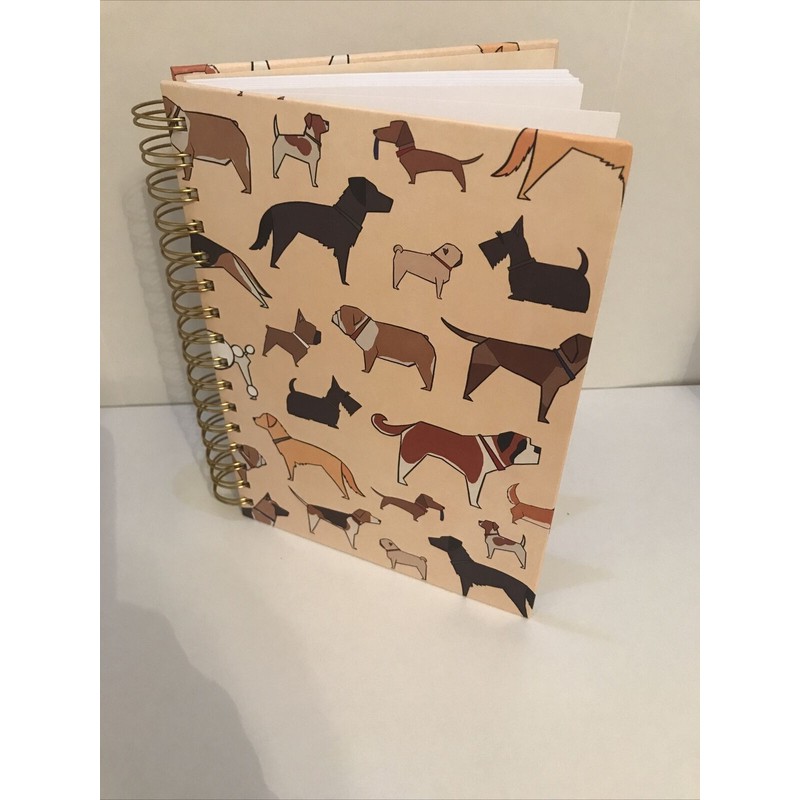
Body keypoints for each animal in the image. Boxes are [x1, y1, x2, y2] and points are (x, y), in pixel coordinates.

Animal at [250, 176, 393, 285]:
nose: (392, 201)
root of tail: (272, 208)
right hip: (285, 234)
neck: (346, 214)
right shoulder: (343, 248)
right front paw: (344, 282)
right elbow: (343, 267)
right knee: (276, 250)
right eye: (374, 192)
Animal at [371, 414, 541, 508]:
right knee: (401, 467)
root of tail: (413, 424)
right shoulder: (475, 477)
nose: (539, 449)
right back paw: (401, 481)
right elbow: (474, 494)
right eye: (523, 445)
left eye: (530, 442)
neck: (492, 448)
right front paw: (475, 506)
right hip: (412, 455)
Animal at [441, 318, 592, 424]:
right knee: (469, 383)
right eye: (586, 345)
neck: (565, 361)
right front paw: (542, 420)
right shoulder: (549, 388)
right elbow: (544, 407)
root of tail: (487, 339)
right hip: (482, 367)